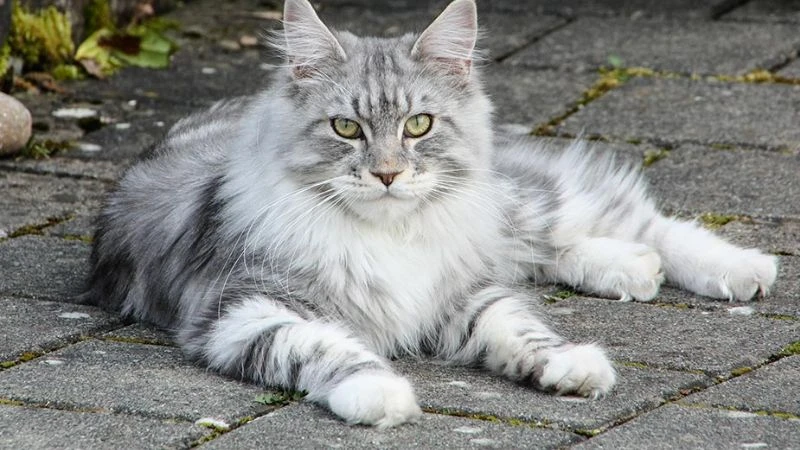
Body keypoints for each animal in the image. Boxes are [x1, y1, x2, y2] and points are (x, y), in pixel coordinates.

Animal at [84, 0, 780, 428]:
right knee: (574, 247)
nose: (389, 173)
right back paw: (635, 270)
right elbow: (324, 348)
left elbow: (523, 331)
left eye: (418, 125)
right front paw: (382, 394)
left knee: (635, 221)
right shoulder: (244, 312)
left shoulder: (462, 294)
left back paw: (741, 269)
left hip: (516, 205)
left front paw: (571, 366)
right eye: (346, 128)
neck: (391, 234)